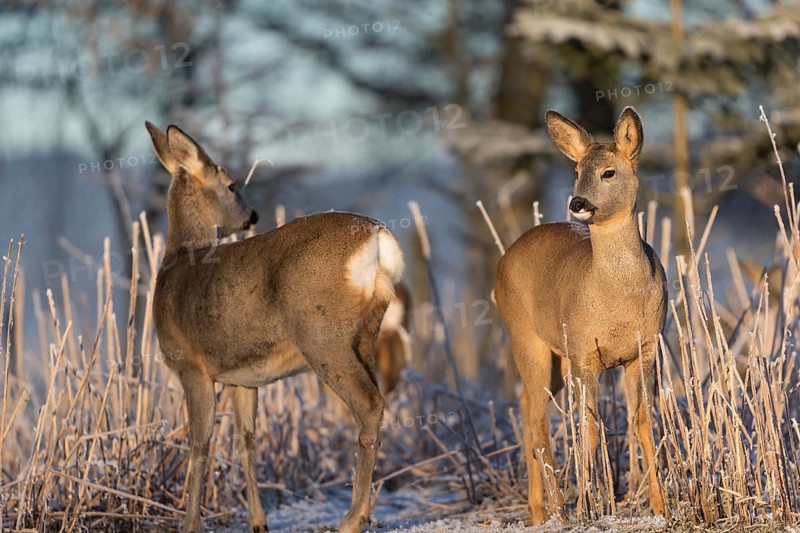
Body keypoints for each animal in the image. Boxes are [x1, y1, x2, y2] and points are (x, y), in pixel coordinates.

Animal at [144, 121, 404, 533]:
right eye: (232, 185)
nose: (252, 215)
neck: (180, 259)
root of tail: (378, 237)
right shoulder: (241, 378)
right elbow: (247, 440)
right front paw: (258, 522)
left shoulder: (190, 365)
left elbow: (200, 443)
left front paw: (191, 524)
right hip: (366, 335)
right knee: (376, 401)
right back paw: (360, 512)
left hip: (321, 335)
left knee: (369, 404)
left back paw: (352, 518)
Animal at [493, 107, 667, 524]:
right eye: (576, 171)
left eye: (609, 172)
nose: (578, 203)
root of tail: (503, 261)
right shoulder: (586, 354)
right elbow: (589, 425)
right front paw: (590, 505)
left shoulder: (645, 349)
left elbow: (642, 419)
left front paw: (661, 506)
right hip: (525, 336)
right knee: (539, 422)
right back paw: (560, 509)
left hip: (558, 357)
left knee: (526, 404)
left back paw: (538, 512)